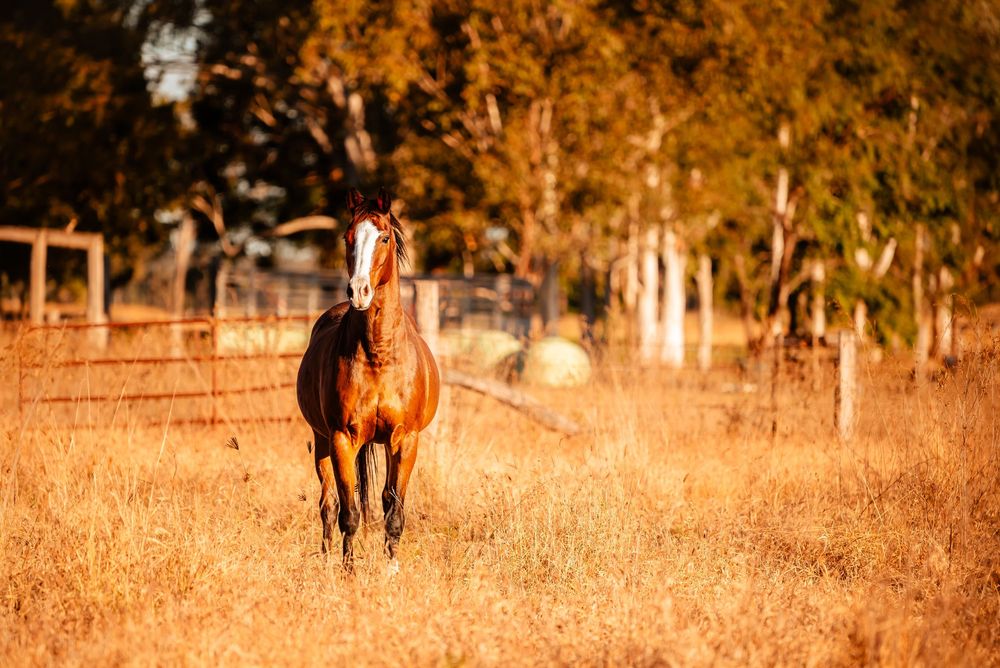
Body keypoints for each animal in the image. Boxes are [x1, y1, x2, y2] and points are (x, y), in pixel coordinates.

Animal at [296, 187, 440, 568]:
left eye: (384, 237)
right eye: (348, 237)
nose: (358, 291)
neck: (379, 356)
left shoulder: (405, 440)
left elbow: (394, 511)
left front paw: (392, 567)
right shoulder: (342, 438)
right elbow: (348, 514)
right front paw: (347, 571)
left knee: (383, 500)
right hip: (321, 441)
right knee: (328, 504)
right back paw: (326, 558)